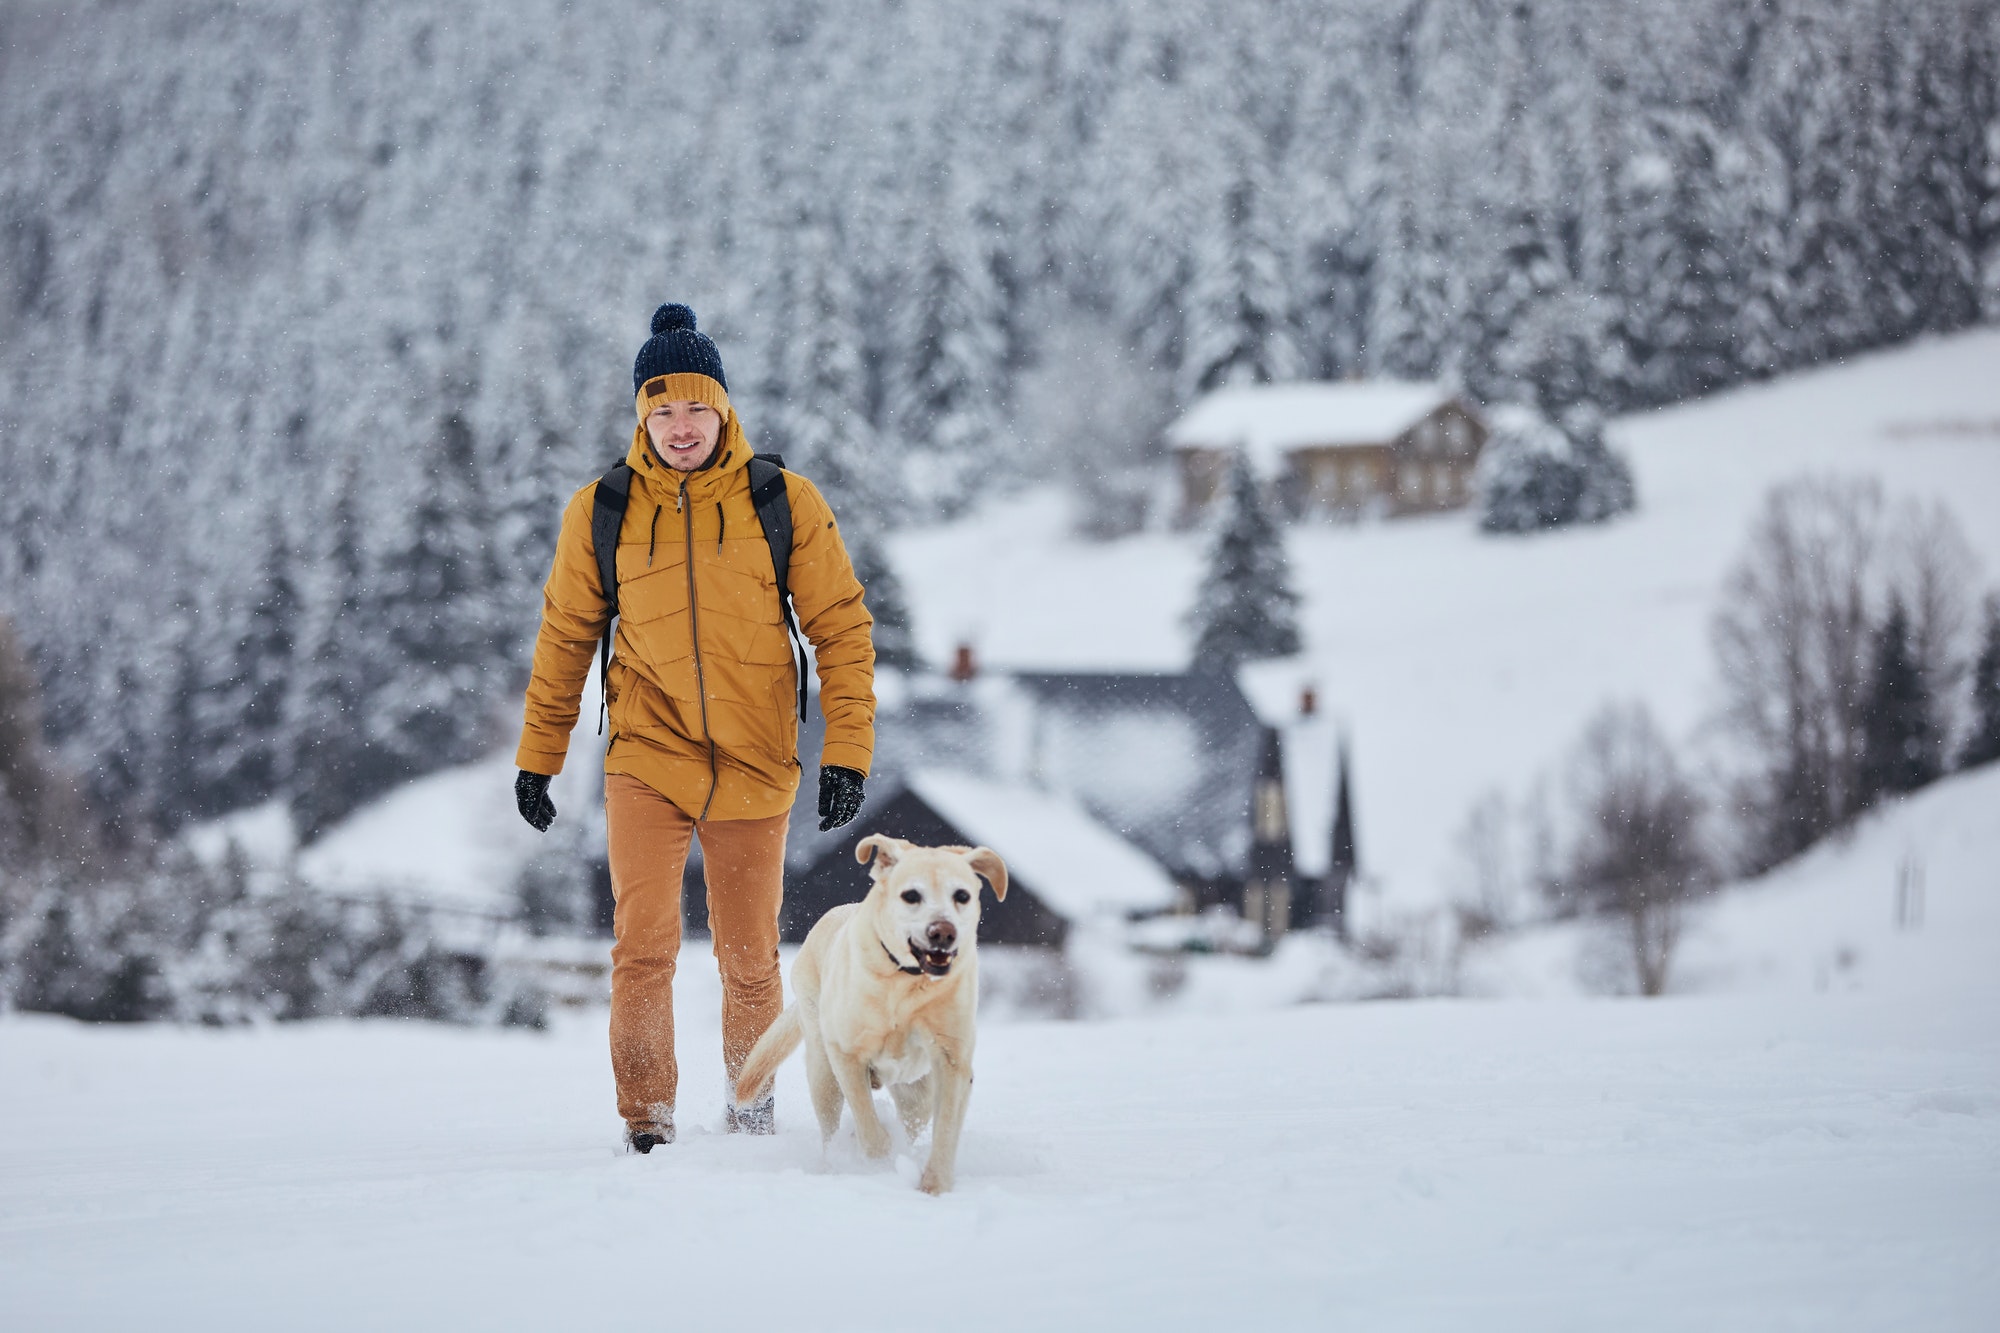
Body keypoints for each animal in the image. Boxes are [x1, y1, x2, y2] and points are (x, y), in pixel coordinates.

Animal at [736, 832, 1008, 1192]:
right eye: (911, 895)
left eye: (961, 895)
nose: (943, 931)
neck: (906, 981)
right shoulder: (846, 1055)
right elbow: (869, 1126)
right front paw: (878, 1166)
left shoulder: (953, 1060)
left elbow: (947, 1128)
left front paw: (935, 1186)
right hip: (823, 1071)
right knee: (830, 1128)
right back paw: (837, 1161)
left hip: (917, 1093)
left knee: (914, 1117)